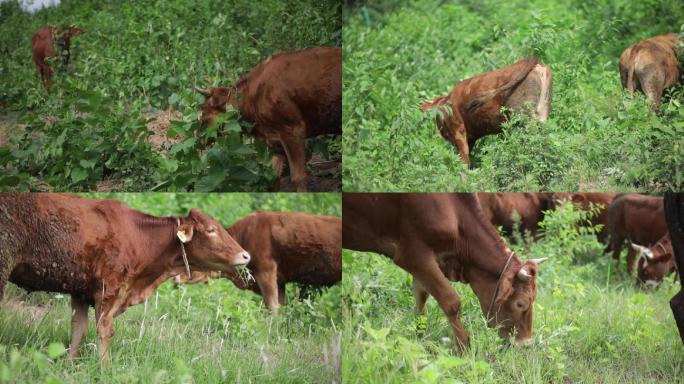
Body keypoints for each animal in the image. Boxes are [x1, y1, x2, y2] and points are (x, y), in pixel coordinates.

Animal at [0, 194, 250, 362]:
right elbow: (103, 330)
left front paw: (69, 364)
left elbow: (78, 329)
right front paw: (105, 368)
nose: (246, 255)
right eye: (211, 230)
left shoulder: (80, 290)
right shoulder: (108, 289)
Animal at [194, 46, 340, 192]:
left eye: (205, 115)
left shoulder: (293, 129)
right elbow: (273, 177)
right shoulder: (275, 140)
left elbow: (298, 177)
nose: (199, 139)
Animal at [344, 194, 548, 350]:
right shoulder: (412, 254)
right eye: (520, 303)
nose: (526, 344)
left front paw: (420, 337)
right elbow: (452, 302)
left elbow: (421, 299)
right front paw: (463, 347)